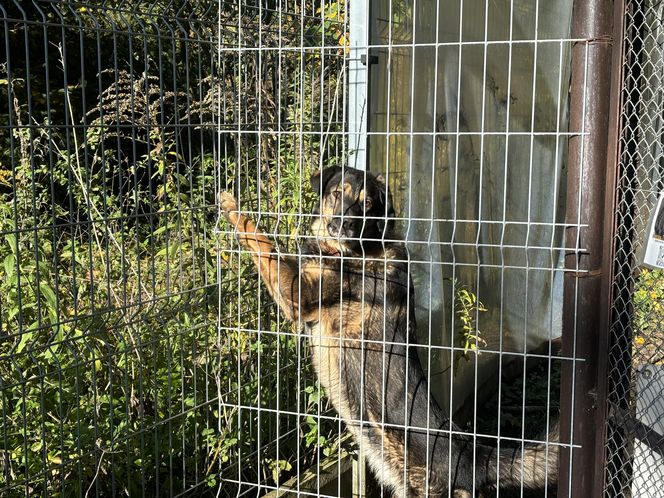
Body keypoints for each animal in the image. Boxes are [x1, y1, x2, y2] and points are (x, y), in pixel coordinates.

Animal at [220, 166, 556, 494]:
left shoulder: (296, 292)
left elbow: (263, 242)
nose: (345, 224)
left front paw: (232, 207)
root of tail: (472, 457)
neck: (361, 249)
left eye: (367, 204)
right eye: (337, 193)